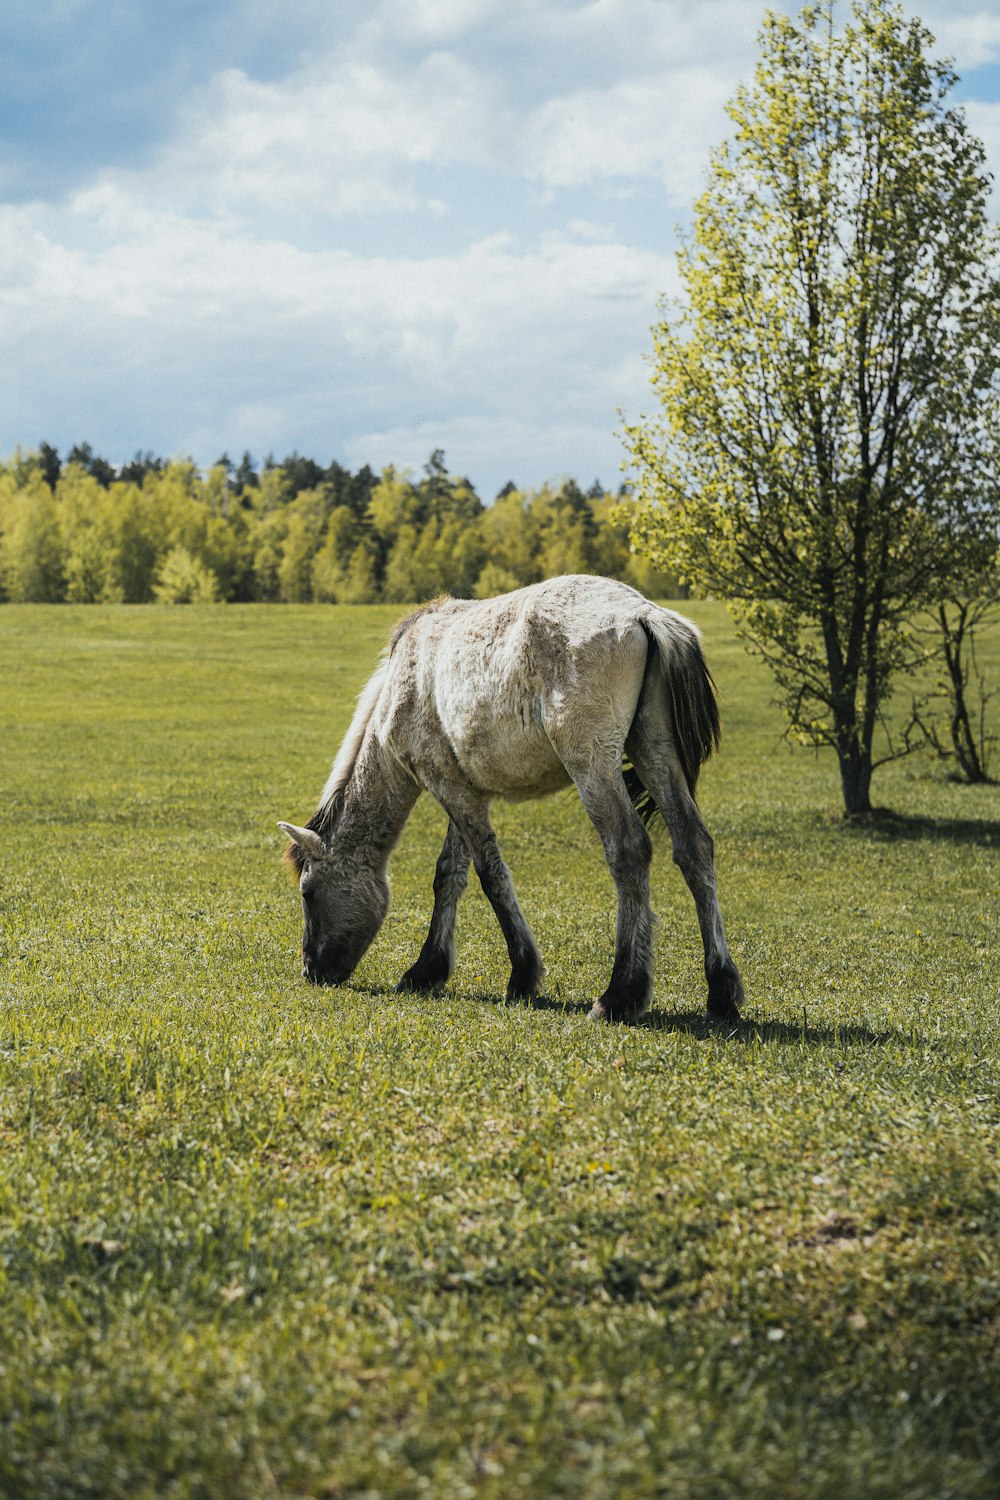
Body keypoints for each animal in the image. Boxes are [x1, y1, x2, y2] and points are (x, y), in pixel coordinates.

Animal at [277, 570, 746, 1020]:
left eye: (308, 892)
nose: (311, 969)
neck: (401, 686)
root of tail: (643, 613)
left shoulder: (447, 786)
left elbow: (491, 875)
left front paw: (522, 974)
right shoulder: (465, 790)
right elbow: (449, 874)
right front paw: (427, 970)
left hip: (593, 765)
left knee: (628, 850)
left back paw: (619, 995)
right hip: (654, 751)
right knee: (694, 846)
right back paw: (721, 991)